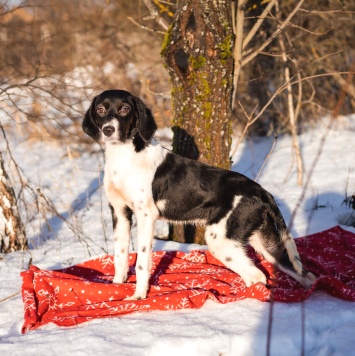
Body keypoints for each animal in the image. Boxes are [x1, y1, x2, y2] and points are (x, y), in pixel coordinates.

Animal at [83, 89, 318, 300]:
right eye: (101, 109)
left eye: (124, 109)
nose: (108, 130)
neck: (124, 156)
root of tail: (261, 190)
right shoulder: (120, 212)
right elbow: (120, 256)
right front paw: (116, 288)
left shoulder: (146, 215)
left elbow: (141, 262)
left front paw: (138, 297)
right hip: (263, 242)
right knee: (302, 273)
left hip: (220, 240)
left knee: (258, 276)